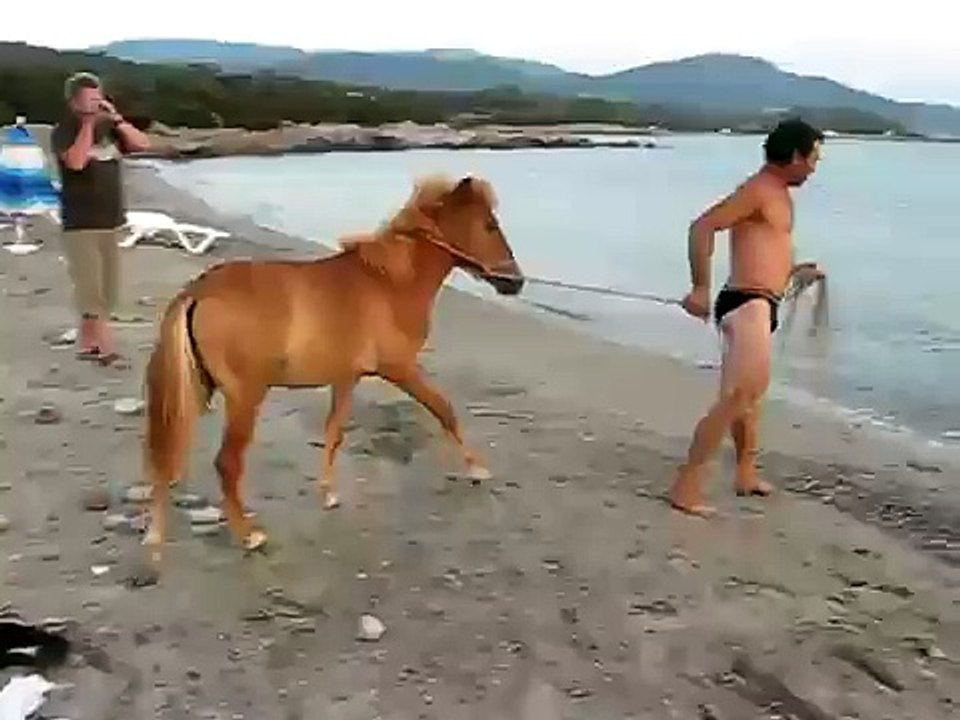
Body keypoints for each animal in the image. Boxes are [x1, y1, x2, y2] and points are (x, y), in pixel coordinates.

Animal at [142, 174, 524, 562]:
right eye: (489, 225)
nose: (517, 281)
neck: (390, 282)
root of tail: (198, 290)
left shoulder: (347, 377)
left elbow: (334, 431)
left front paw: (328, 493)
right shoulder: (400, 369)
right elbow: (443, 409)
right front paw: (477, 469)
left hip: (195, 389)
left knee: (165, 453)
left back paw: (155, 536)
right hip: (245, 397)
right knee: (226, 463)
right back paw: (249, 536)